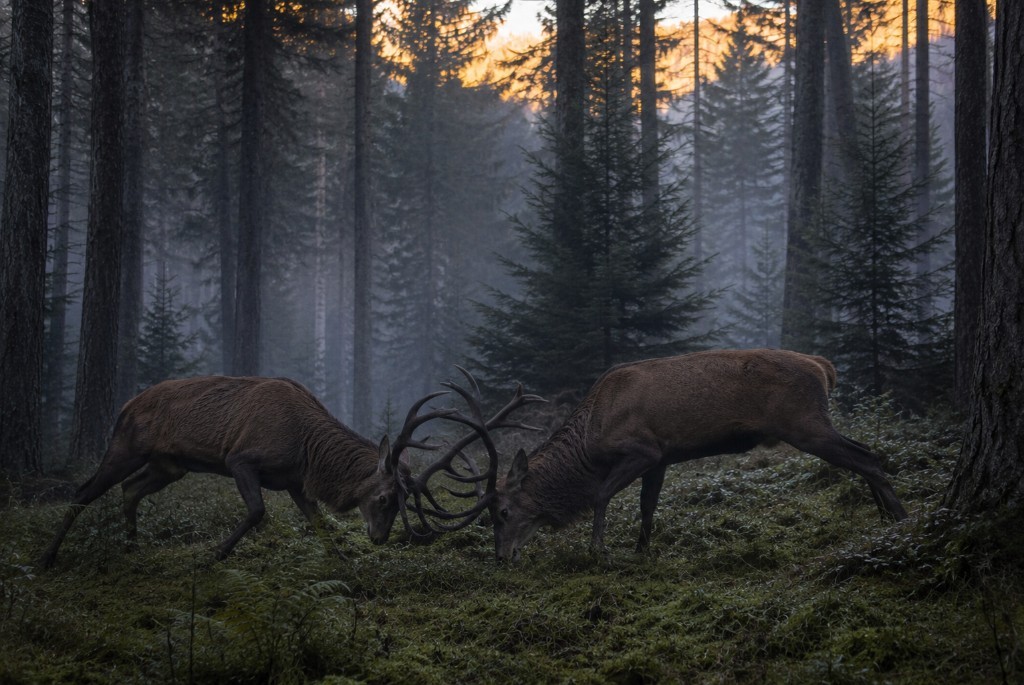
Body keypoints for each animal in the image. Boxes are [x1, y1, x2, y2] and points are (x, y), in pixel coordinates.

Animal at [39, 375, 470, 568]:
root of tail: (126, 405)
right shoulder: (241, 459)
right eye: (383, 497)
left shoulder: (296, 482)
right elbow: (257, 511)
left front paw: (340, 560)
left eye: (401, 503)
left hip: (168, 465)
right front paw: (215, 554)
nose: (379, 539)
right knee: (83, 490)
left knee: (130, 488)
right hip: (126, 446)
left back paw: (131, 545)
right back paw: (47, 556)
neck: (306, 449)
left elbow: (317, 521)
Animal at [479, 349, 909, 562]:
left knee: (867, 457)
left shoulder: (642, 449)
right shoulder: (661, 458)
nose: (501, 558)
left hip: (803, 422)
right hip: (811, 422)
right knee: (866, 452)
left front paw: (598, 549)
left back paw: (899, 518)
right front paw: (641, 550)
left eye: (503, 512)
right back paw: (884, 515)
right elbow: (647, 505)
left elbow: (602, 495)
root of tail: (825, 367)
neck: (590, 441)